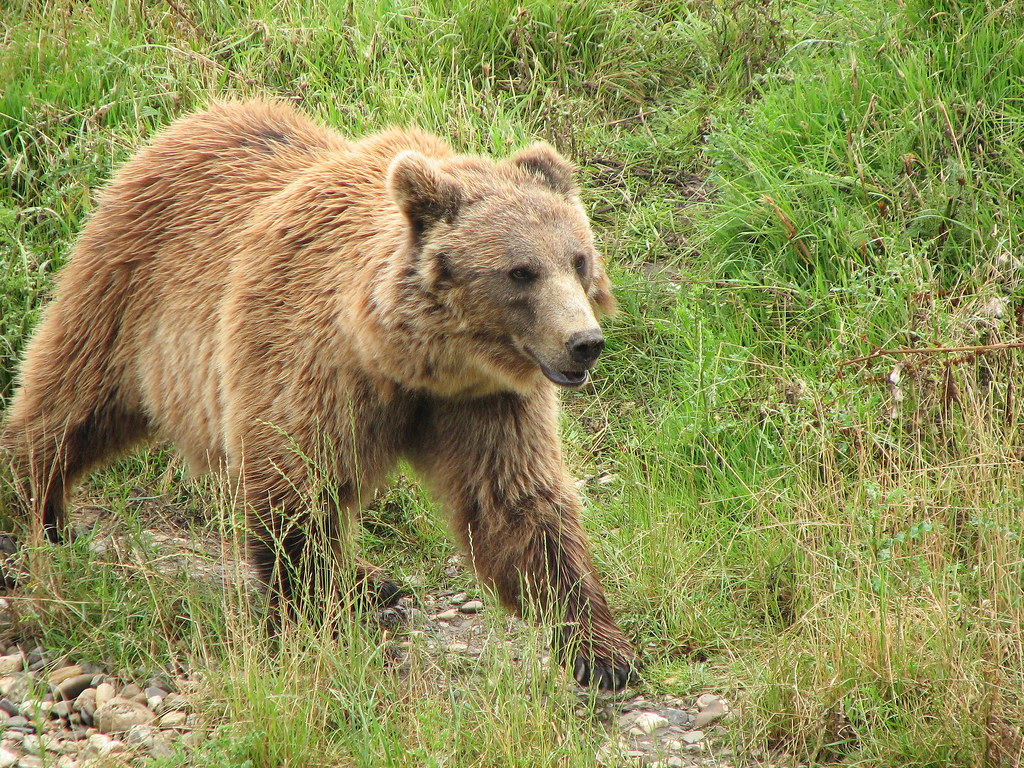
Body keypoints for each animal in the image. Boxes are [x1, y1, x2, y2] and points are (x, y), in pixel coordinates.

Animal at [0, 99, 638, 690]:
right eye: (521, 272)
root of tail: (196, 117)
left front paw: (602, 649)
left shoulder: (484, 401)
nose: (584, 343)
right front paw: (307, 623)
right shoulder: (308, 355)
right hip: (129, 289)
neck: (411, 359)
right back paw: (34, 507)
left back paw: (370, 579)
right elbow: (295, 487)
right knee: (69, 397)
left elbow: (516, 503)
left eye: (579, 259)